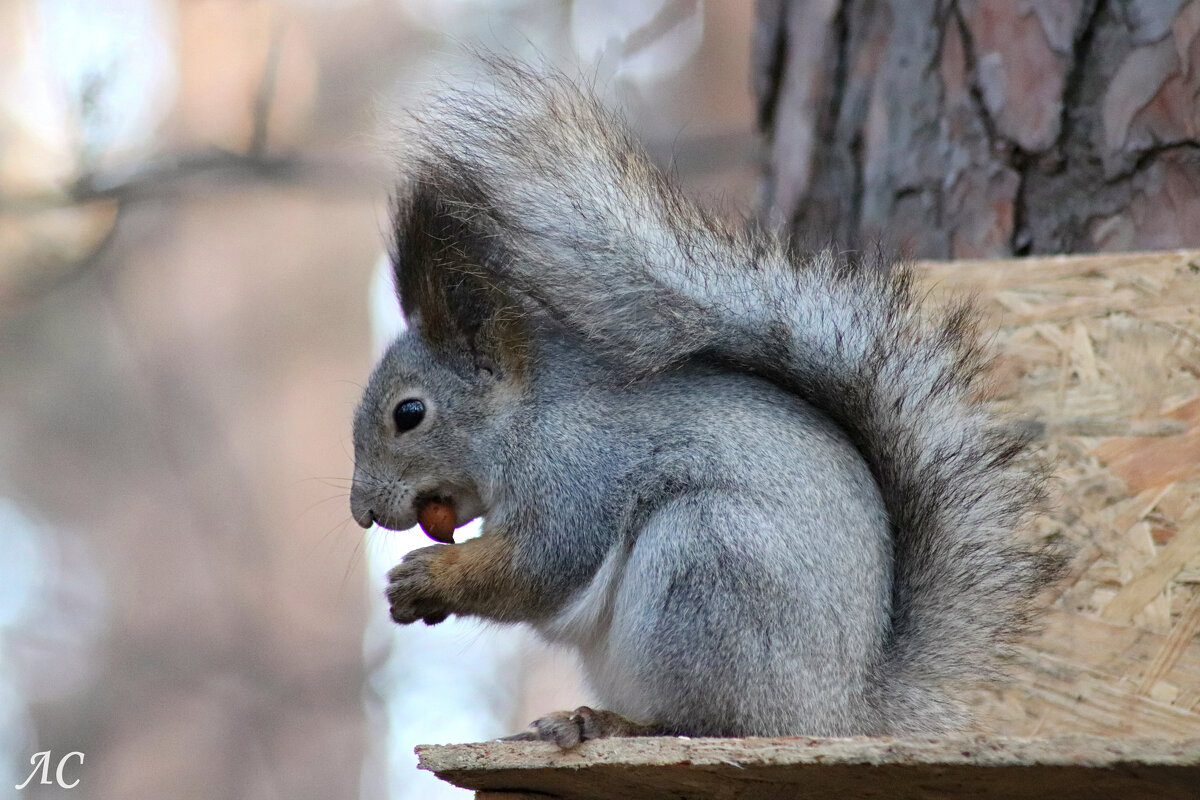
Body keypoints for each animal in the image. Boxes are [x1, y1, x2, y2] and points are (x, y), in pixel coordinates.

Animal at [348, 65, 1060, 748]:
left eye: (409, 414)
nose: (362, 512)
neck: (525, 417)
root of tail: (839, 712)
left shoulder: (577, 472)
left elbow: (541, 565)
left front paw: (430, 578)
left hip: (705, 568)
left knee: (708, 722)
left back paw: (612, 725)